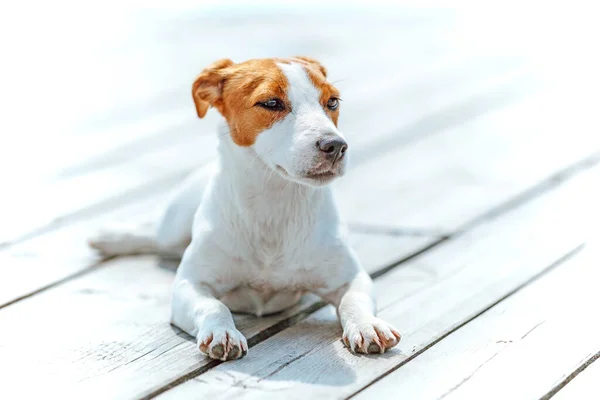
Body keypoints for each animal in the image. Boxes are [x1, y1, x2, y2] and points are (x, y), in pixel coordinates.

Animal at [89, 56, 400, 360]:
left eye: (333, 101)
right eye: (271, 103)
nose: (335, 145)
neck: (273, 202)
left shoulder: (352, 278)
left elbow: (354, 300)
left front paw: (368, 326)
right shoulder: (190, 284)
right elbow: (214, 306)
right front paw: (222, 333)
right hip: (172, 228)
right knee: (152, 235)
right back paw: (108, 238)